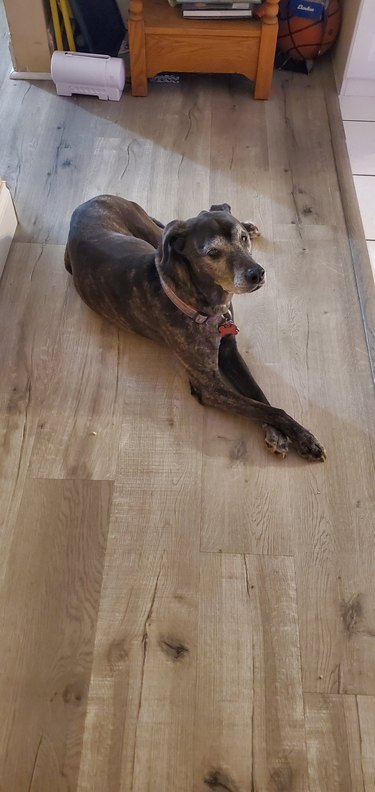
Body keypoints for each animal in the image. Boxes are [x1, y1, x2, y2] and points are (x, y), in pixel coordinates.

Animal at [66, 194, 328, 460]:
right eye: (213, 252)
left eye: (242, 239)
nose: (257, 274)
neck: (204, 304)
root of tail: (90, 200)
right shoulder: (210, 387)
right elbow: (267, 409)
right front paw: (300, 438)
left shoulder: (229, 350)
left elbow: (257, 394)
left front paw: (284, 434)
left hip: (151, 234)